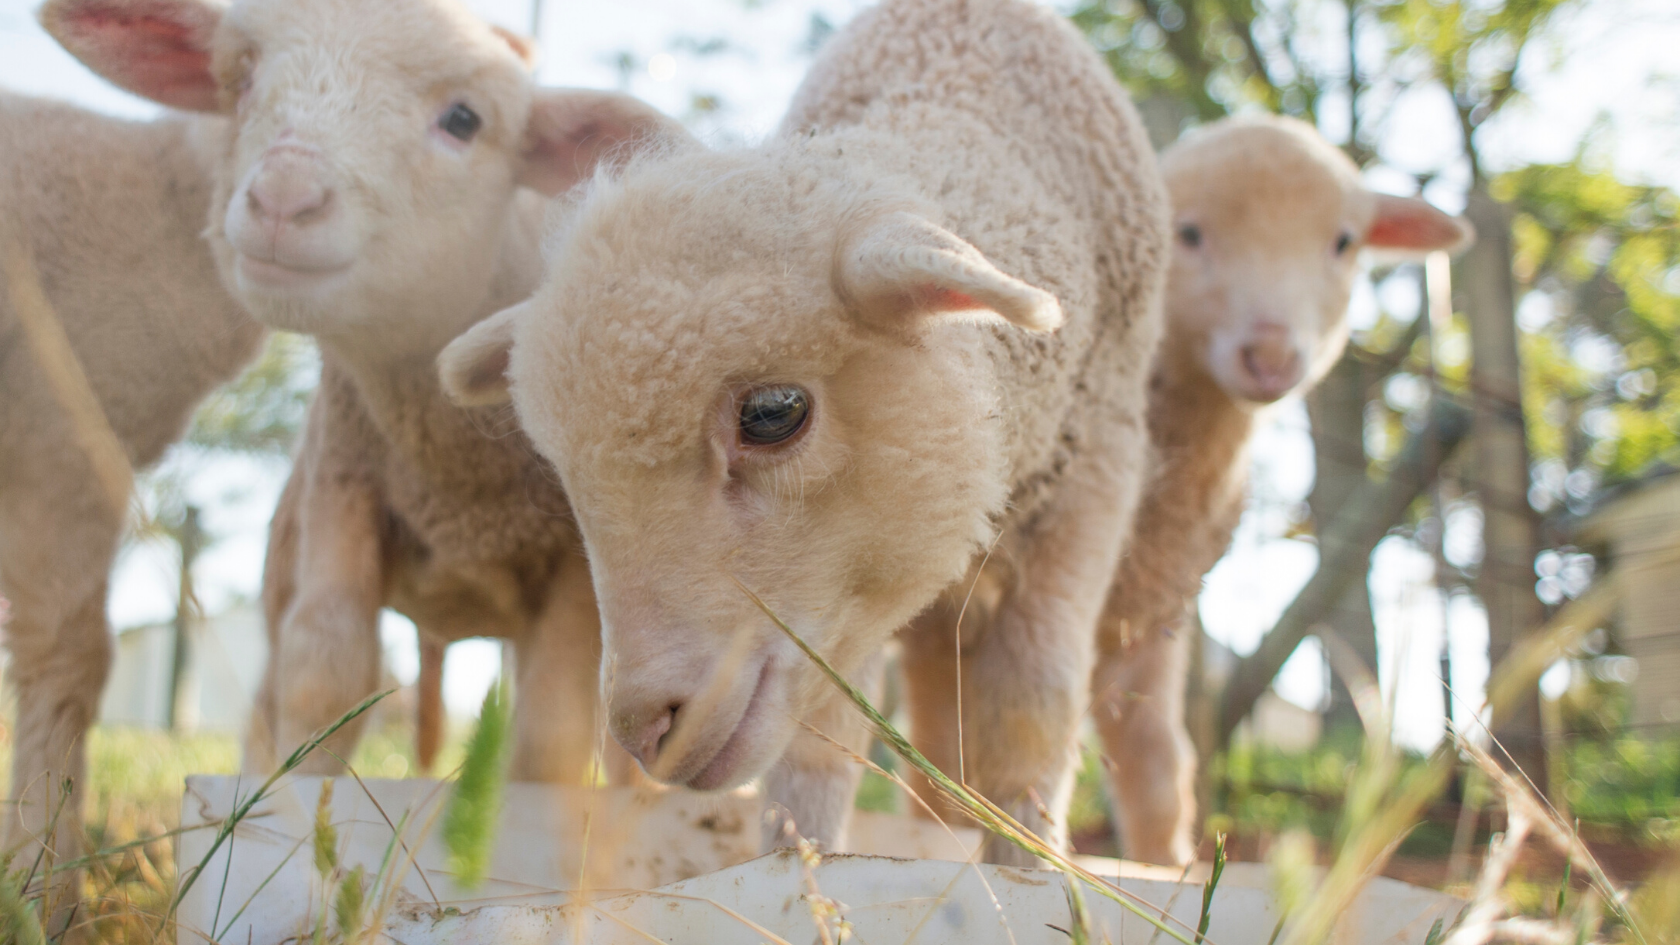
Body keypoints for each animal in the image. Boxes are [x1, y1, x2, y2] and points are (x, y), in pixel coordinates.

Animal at [41, 0, 680, 786]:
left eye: (464, 120)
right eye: (241, 77)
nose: (284, 196)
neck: (456, 467)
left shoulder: (569, 559)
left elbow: (552, 735)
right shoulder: (344, 484)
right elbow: (324, 672)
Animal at [439, 0, 1170, 864]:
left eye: (773, 413)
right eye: (567, 473)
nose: (644, 728)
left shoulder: (1093, 477)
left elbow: (1034, 710)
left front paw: (1030, 864)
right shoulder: (843, 602)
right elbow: (821, 742)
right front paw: (801, 860)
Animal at [1089, 114, 1474, 865]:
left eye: (1344, 242)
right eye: (1187, 233)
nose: (1269, 355)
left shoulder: (1152, 597)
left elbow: (1156, 766)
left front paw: (1162, 869)